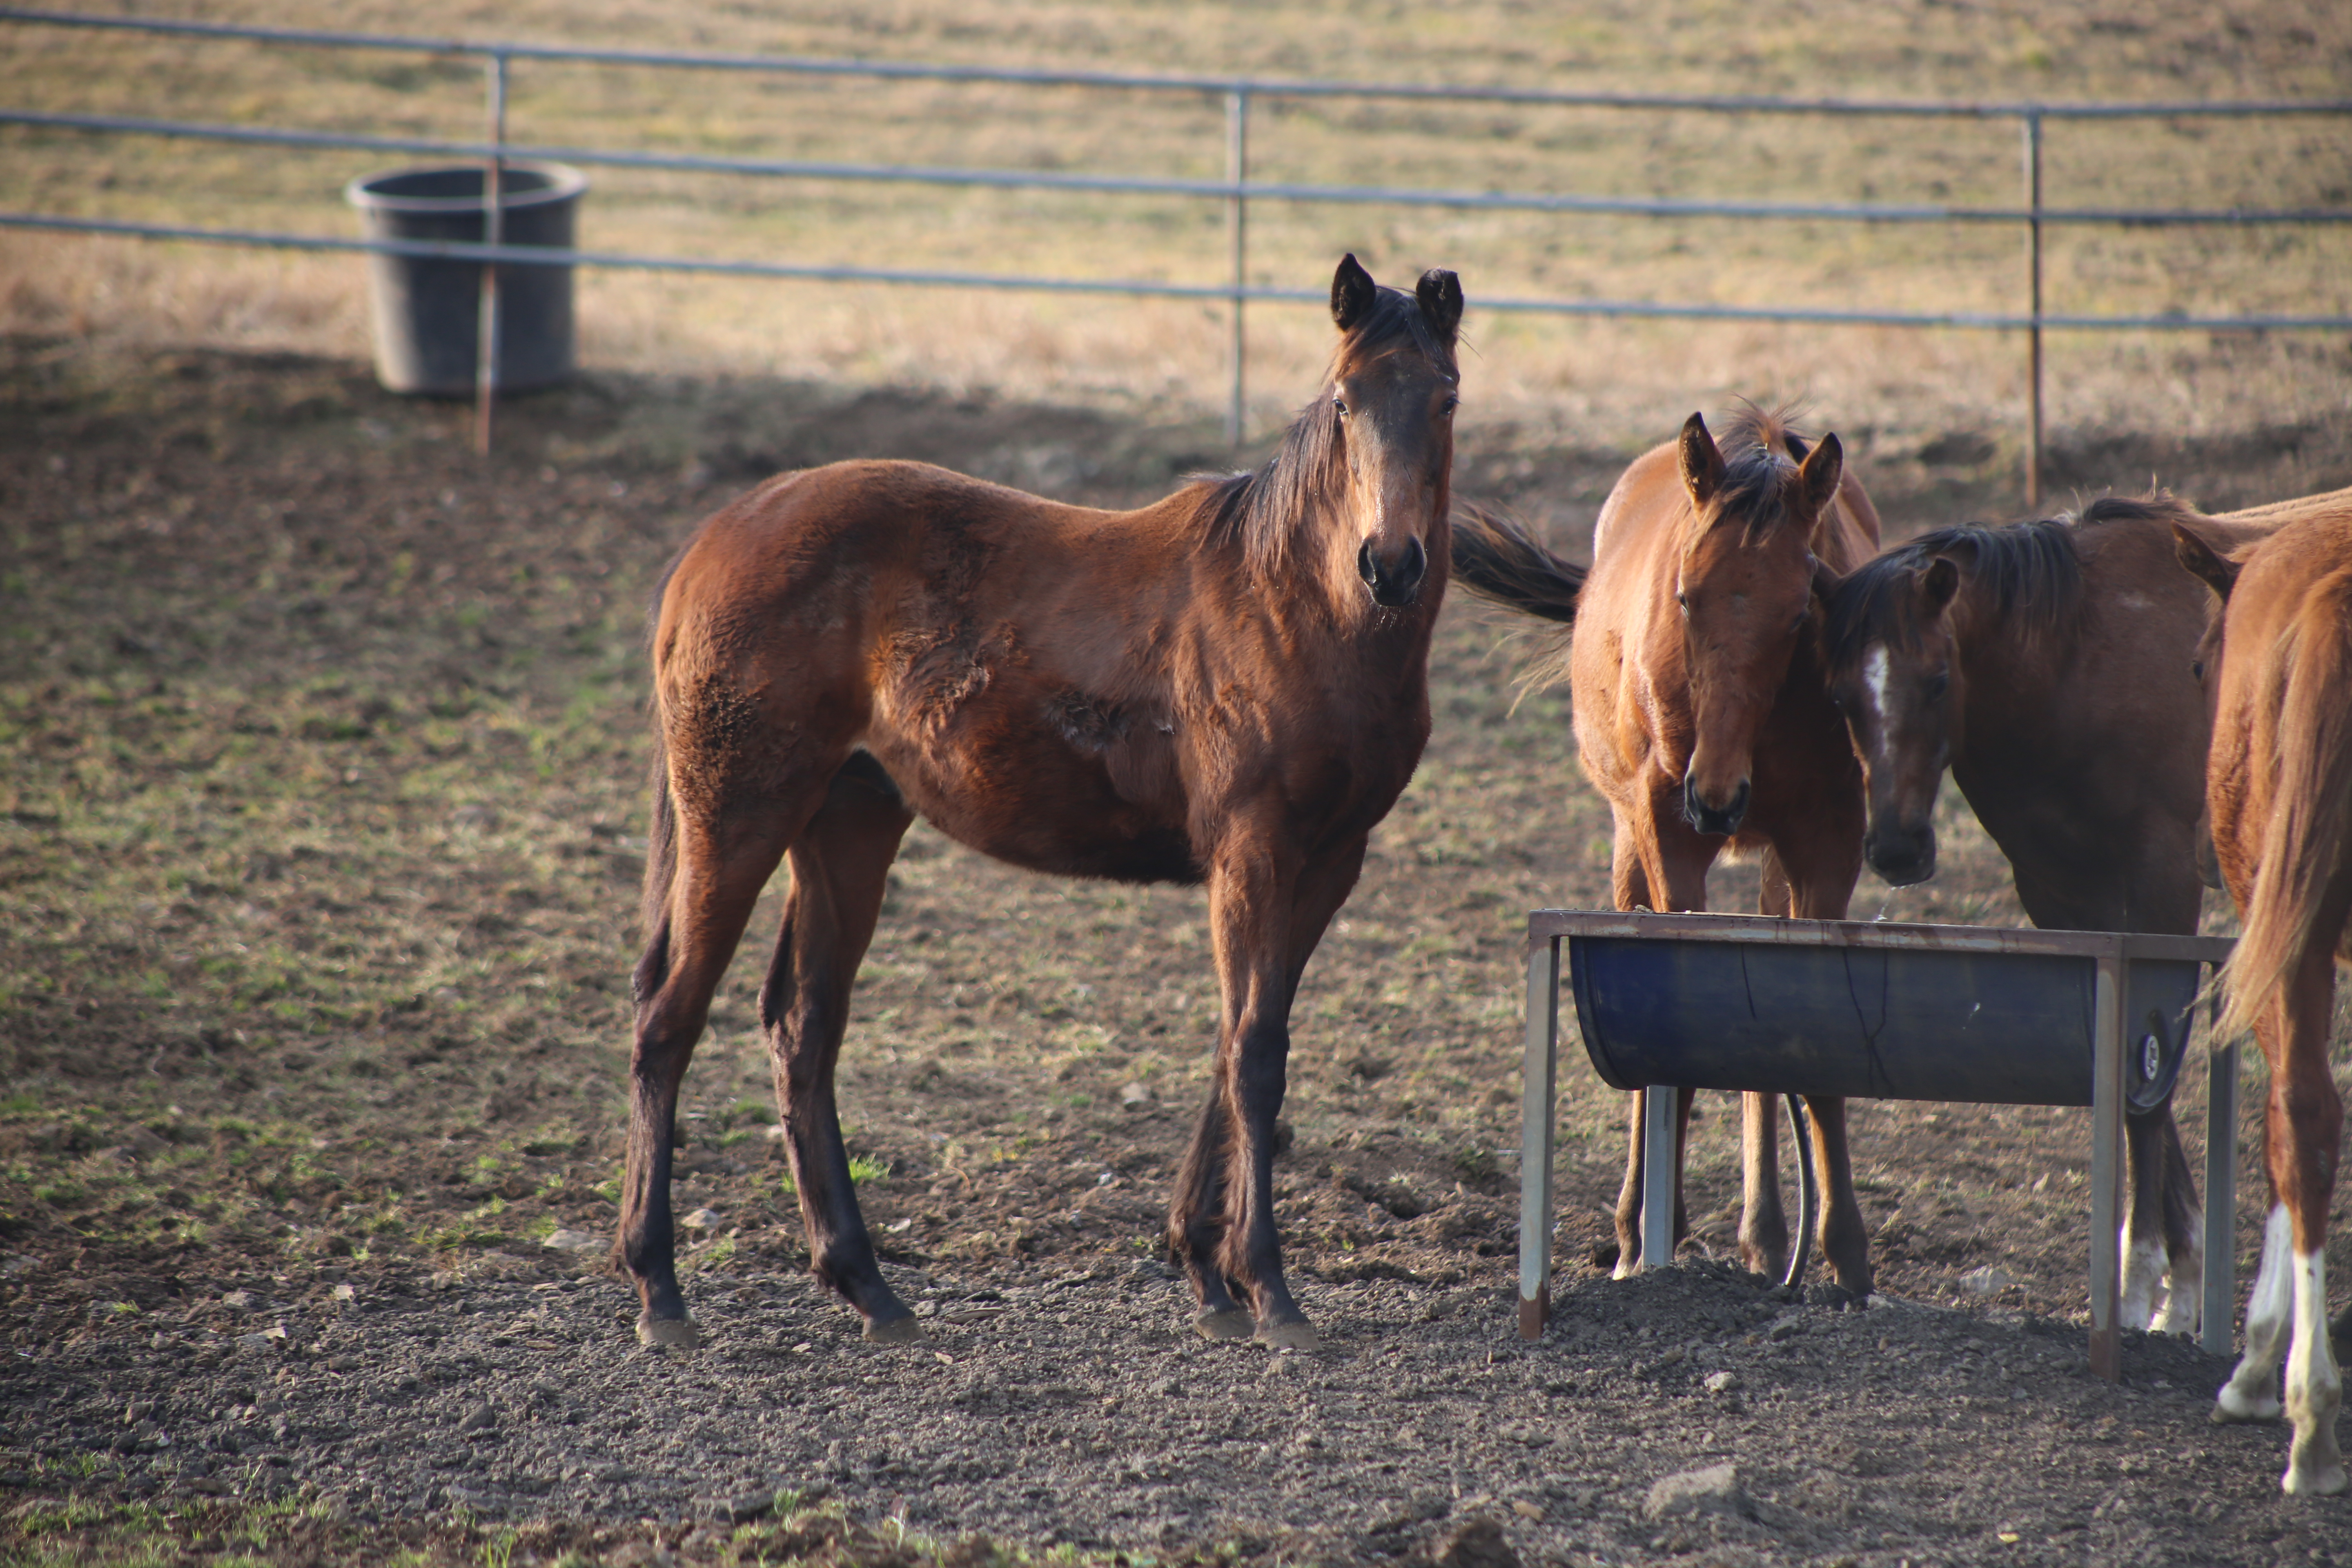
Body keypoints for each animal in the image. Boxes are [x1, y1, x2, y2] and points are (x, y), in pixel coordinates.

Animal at [621, 257, 1468, 1354]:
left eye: (1444, 398)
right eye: (1342, 401)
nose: (1390, 563)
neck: (1297, 606)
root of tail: (714, 539)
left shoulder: (1327, 861)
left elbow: (1242, 1037)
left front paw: (1206, 1271)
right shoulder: (1253, 849)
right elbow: (1253, 1056)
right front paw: (1268, 1289)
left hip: (846, 825)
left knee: (801, 1029)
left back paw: (868, 1287)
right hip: (735, 818)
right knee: (668, 1022)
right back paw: (660, 1290)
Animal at [1458, 409, 1882, 1297]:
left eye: (1801, 613)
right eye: (1685, 595)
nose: (1716, 797)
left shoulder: (1828, 847)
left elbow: (1816, 1035)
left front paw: (1846, 1252)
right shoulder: (1668, 839)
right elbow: (1675, 1044)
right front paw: (1644, 1238)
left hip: (1771, 869)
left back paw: (1767, 1233)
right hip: (1632, 845)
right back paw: (1642, 1226)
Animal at [1815, 491, 2352, 1335]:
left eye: (1936, 682)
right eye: (1840, 696)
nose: (1897, 849)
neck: (2075, 664)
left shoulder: (2161, 891)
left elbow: (2148, 1095)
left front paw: (2141, 1284)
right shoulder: (2069, 904)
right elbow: (2129, 1079)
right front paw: (2181, 1277)